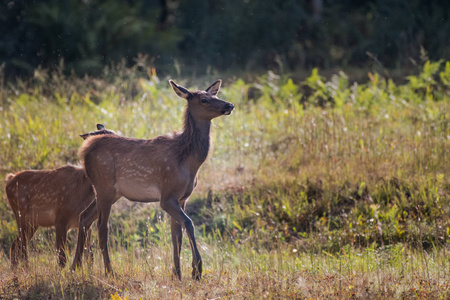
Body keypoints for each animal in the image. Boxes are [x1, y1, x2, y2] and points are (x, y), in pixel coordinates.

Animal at [3, 123, 114, 268]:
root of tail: (9, 180)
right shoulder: (60, 218)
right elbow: (62, 258)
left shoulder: (84, 223)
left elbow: (89, 255)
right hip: (21, 215)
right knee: (21, 246)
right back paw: (24, 269)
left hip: (33, 222)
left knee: (16, 244)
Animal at [72, 79, 234, 278]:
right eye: (204, 100)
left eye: (215, 94)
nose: (229, 105)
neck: (187, 160)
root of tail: (85, 149)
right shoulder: (167, 195)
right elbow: (189, 223)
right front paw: (196, 270)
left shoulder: (182, 198)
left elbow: (176, 235)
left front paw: (177, 273)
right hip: (104, 186)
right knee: (102, 227)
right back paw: (109, 272)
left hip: (111, 192)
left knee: (84, 217)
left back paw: (75, 267)